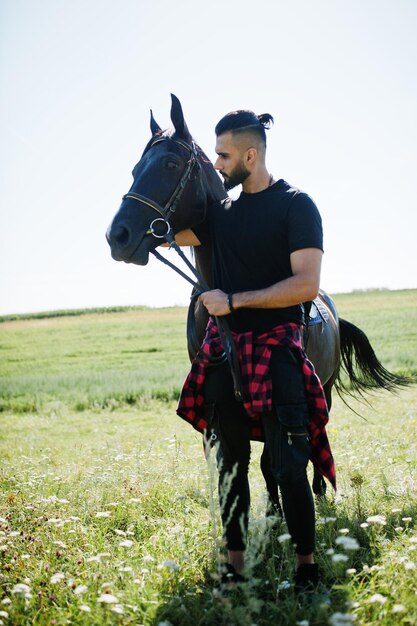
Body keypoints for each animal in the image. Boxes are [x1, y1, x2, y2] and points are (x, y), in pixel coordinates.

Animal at [105, 95, 408, 504]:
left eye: (170, 164)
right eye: (136, 168)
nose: (117, 235)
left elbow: (274, 460)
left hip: (324, 387)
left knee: (317, 435)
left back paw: (318, 489)